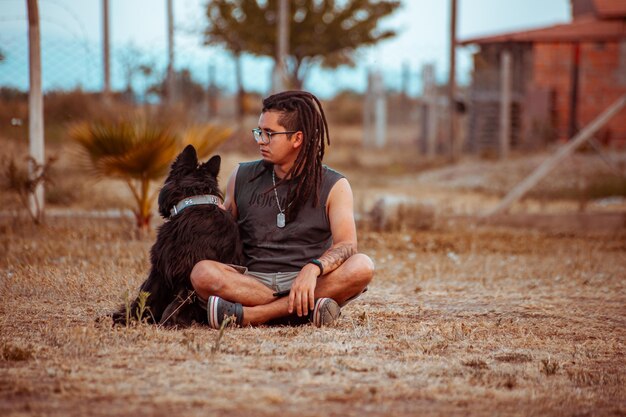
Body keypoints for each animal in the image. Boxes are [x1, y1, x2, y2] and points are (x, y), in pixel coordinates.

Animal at [111, 145, 241, 326]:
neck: (195, 202)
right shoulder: (160, 270)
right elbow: (145, 299)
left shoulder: (184, 273)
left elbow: (174, 305)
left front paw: (168, 322)